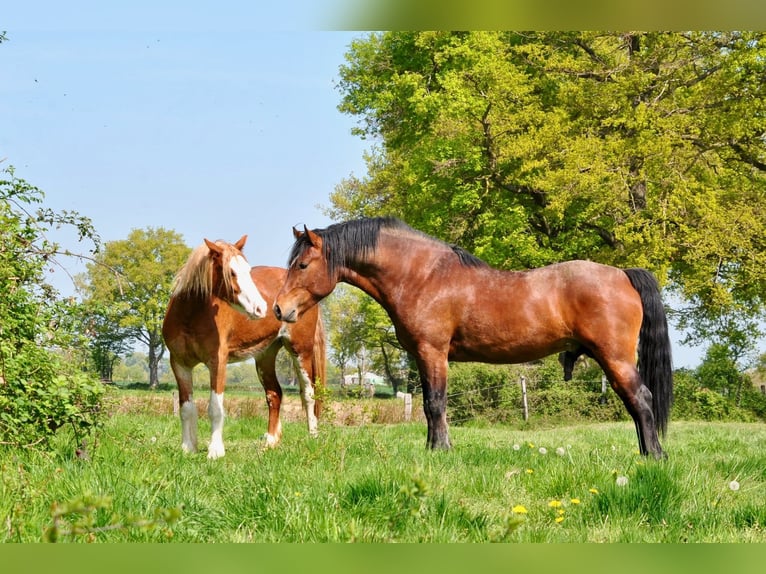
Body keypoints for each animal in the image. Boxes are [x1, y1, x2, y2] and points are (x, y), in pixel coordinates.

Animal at [164, 236, 326, 462]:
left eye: (248, 271)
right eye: (231, 272)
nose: (262, 308)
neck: (190, 315)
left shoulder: (217, 362)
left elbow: (215, 408)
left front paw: (215, 451)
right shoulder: (180, 364)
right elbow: (186, 408)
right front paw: (188, 448)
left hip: (301, 350)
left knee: (309, 394)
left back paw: (313, 437)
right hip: (265, 356)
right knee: (274, 395)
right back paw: (270, 442)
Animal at [274, 218, 672, 462]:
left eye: (303, 265)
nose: (279, 309)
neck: (423, 276)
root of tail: (622, 274)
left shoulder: (433, 352)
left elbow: (435, 404)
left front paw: (441, 450)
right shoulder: (423, 356)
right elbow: (428, 406)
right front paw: (433, 447)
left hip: (615, 358)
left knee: (641, 399)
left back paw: (654, 456)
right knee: (635, 403)